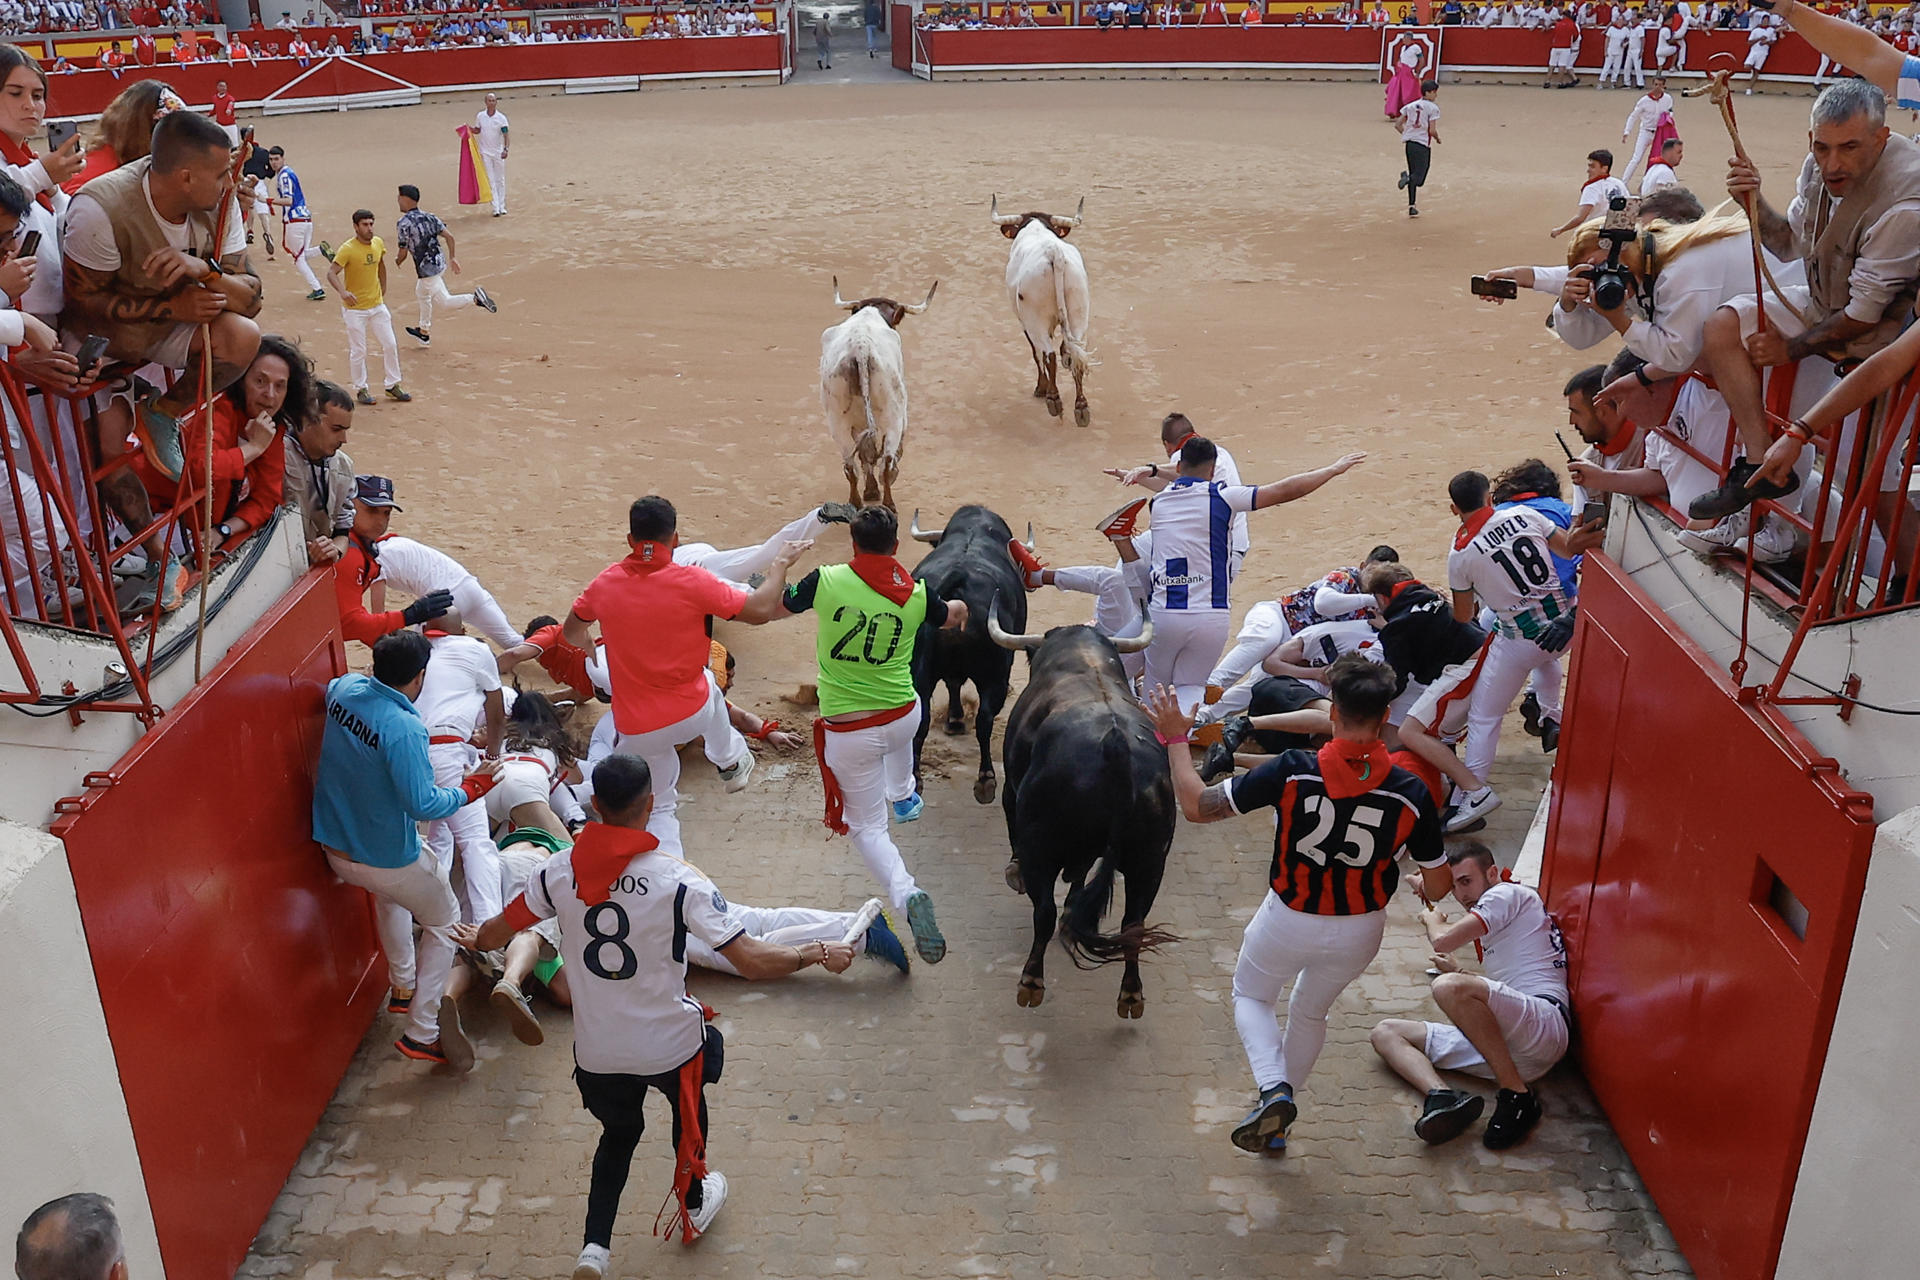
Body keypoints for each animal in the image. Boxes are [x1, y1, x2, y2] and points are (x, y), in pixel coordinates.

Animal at [906, 506, 1029, 805]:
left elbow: (953, 683)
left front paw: (954, 719)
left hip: (918, 673)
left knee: (922, 718)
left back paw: (916, 780)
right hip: (995, 676)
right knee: (984, 720)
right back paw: (985, 780)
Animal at [998, 614, 1175, 1013]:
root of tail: (1116, 747)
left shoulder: (1013, 796)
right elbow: (1080, 878)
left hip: (1042, 846)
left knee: (1043, 912)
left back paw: (1031, 982)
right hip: (1151, 860)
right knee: (1133, 923)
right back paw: (1131, 994)